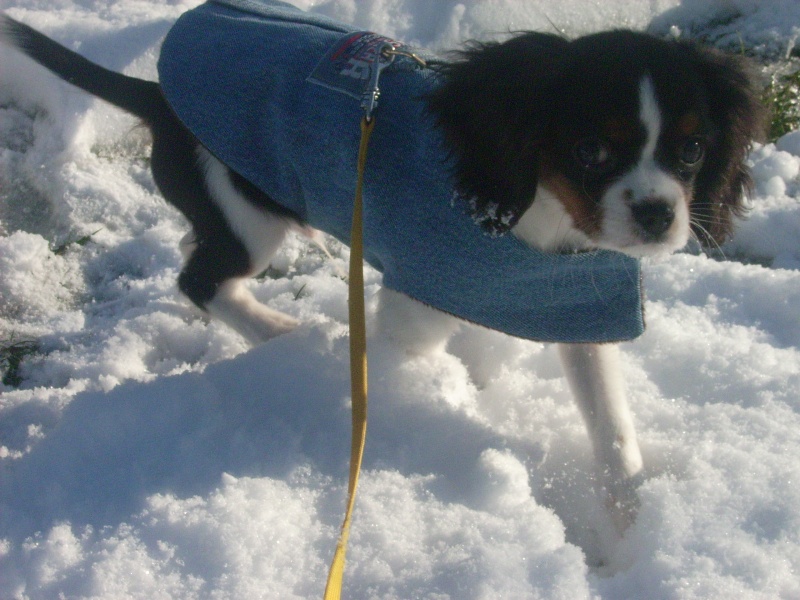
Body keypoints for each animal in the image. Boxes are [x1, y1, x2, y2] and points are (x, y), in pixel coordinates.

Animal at [0, 1, 764, 536]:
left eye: (693, 150)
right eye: (590, 151)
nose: (659, 215)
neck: (537, 227)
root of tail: (155, 94)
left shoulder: (569, 302)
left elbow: (612, 427)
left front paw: (636, 522)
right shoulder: (413, 307)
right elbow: (408, 366)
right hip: (245, 215)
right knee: (200, 280)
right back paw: (278, 332)